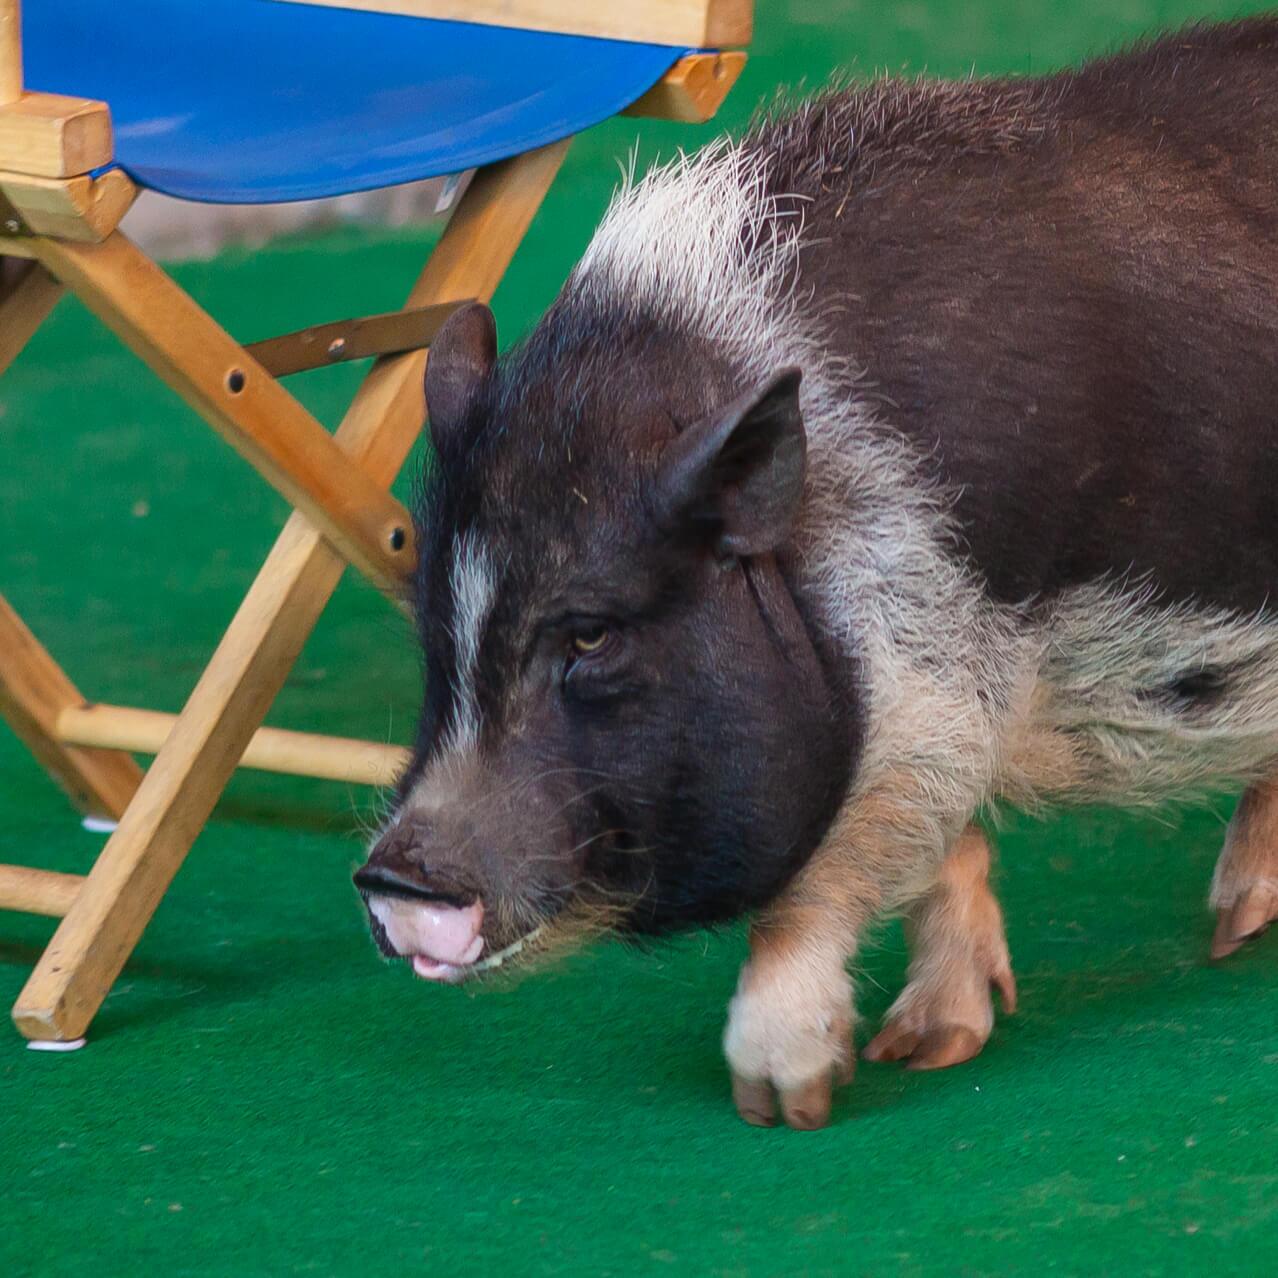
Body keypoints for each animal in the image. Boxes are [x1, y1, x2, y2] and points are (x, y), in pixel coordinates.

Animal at [356, 17, 1278, 1129]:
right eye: (434, 631)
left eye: (591, 632)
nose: (398, 876)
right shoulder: (932, 697)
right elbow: (937, 843)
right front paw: (928, 1052)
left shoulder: (928, 669)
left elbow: (827, 873)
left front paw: (783, 1103)